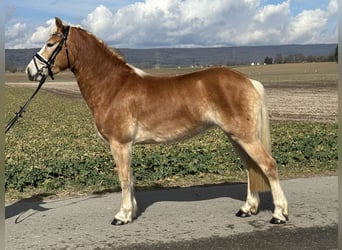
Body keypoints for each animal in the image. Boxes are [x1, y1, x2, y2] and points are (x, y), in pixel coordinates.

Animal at [27, 17, 288, 225]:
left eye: (50, 44)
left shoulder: (120, 144)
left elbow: (124, 178)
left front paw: (122, 216)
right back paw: (247, 209)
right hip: (235, 136)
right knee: (252, 168)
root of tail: (249, 81)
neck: (113, 86)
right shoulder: (126, 146)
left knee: (268, 165)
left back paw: (279, 214)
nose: (30, 71)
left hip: (245, 136)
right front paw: (131, 212)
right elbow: (131, 179)